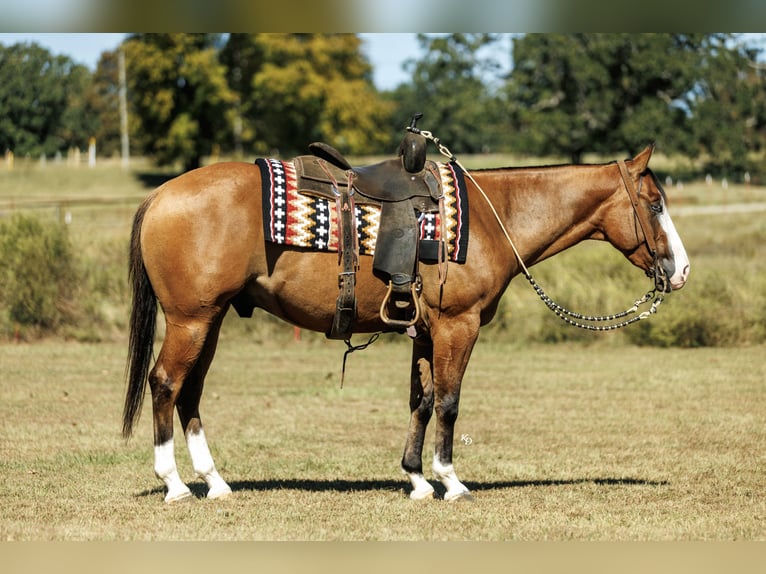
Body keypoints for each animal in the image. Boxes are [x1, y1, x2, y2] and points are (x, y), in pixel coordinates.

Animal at [122, 144, 690, 503]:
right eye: (655, 204)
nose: (681, 270)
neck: (492, 218)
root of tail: (160, 195)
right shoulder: (458, 326)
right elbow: (449, 402)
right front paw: (450, 481)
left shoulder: (426, 331)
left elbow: (421, 400)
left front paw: (416, 480)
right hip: (191, 320)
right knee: (165, 383)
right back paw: (175, 484)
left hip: (210, 320)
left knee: (190, 392)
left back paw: (215, 482)